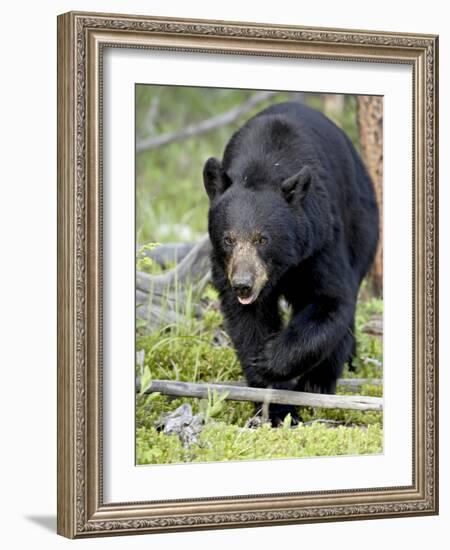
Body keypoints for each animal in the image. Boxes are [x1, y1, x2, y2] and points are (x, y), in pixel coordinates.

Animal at [203, 103, 376, 426]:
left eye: (262, 238)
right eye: (228, 238)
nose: (243, 284)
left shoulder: (319, 240)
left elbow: (331, 299)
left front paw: (271, 360)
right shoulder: (224, 267)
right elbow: (247, 321)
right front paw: (273, 404)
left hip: (362, 225)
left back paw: (321, 383)